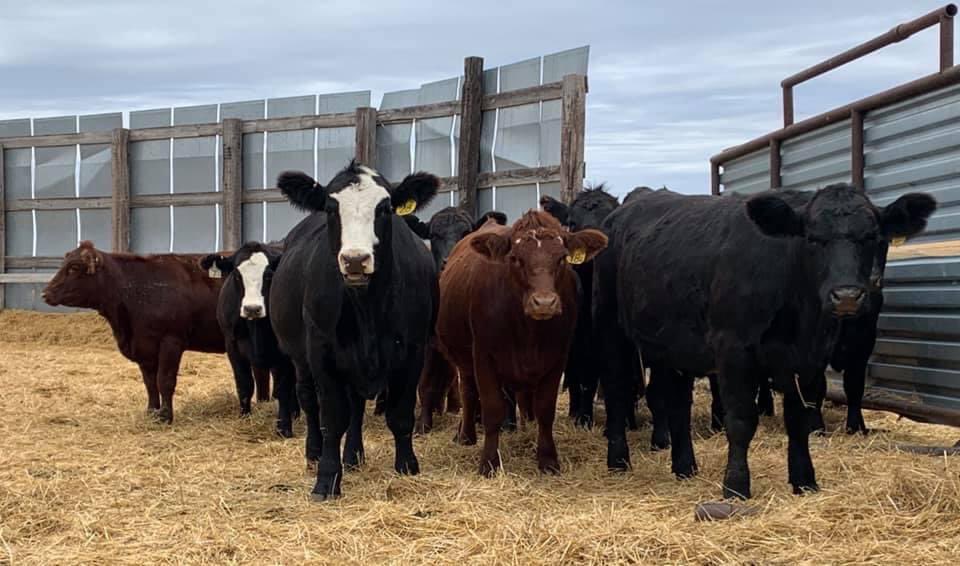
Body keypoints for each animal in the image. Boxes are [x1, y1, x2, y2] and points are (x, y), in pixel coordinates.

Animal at [42, 241, 226, 423]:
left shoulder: (171, 341)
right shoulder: (144, 346)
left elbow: (165, 380)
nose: (46, 293)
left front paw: (165, 416)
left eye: (74, 267)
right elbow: (150, 383)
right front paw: (151, 412)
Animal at [200, 242, 301, 438]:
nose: (252, 308)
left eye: (268, 274)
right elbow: (244, 384)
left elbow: (284, 388)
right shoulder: (232, 347)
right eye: (237, 275)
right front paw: (244, 418)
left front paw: (284, 428)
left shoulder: (286, 353)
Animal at [269, 160, 440, 500]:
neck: (366, 307)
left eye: (385, 208)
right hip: (300, 358)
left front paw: (407, 466)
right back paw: (314, 453)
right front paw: (326, 479)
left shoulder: (413, 350)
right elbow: (333, 419)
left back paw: (353, 455)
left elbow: (400, 415)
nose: (355, 260)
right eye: (331, 208)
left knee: (357, 408)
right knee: (309, 402)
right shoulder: (322, 354)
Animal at [437, 210, 607, 475]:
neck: (528, 332)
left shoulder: (557, 358)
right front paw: (489, 462)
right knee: (469, 392)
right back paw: (465, 435)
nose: (544, 302)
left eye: (562, 258)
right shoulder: (483, 357)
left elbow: (545, 410)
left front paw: (548, 460)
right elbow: (492, 409)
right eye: (515, 258)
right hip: (464, 362)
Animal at [593, 183, 935, 498]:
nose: (847, 295)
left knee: (676, 402)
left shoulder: (811, 359)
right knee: (617, 392)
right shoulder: (733, 350)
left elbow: (799, 418)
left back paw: (684, 467)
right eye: (812, 239)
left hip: (672, 346)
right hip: (611, 328)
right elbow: (741, 419)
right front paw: (735, 486)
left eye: (872, 237)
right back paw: (619, 460)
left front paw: (804, 480)